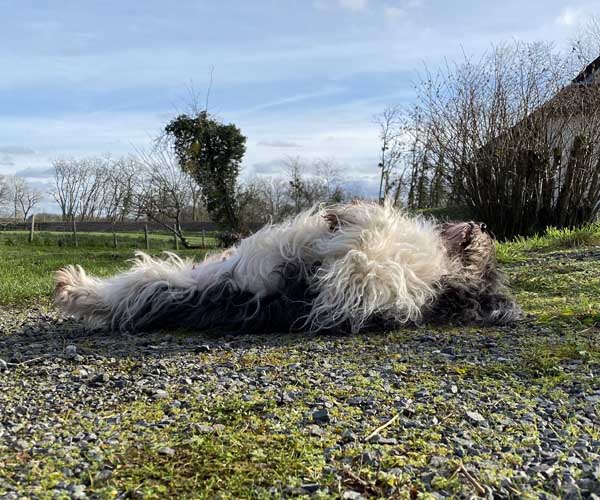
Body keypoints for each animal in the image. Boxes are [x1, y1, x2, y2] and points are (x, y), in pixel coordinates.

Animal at [54, 202, 521, 333]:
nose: (483, 225)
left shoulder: (358, 292)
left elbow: (363, 251)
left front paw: (354, 218)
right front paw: (343, 215)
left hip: (171, 288)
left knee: (125, 300)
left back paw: (73, 290)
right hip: (177, 278)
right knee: (123, 292)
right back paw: (73, 286)